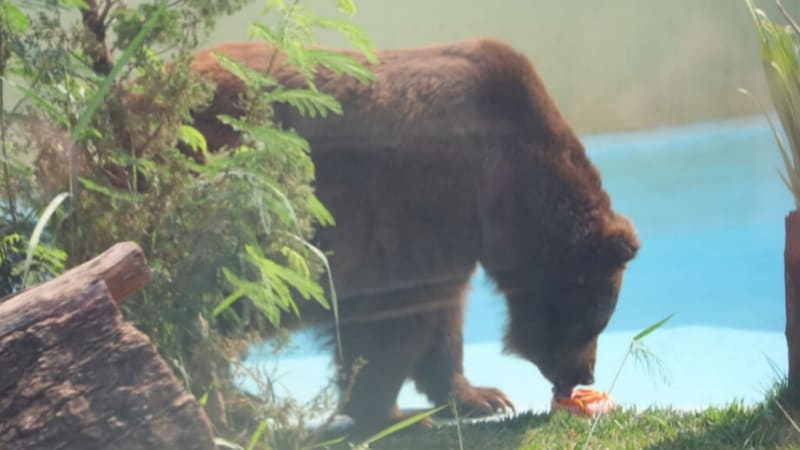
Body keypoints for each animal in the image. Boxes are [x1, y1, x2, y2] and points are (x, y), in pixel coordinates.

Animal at [187, 38, 640, 433]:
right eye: (591, 324)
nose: (584, 373)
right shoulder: (415, 205)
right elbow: (394, 315)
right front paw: (393, 413)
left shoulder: (452, 233)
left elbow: (443, 314)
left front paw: (480, 396)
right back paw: (234, 407)